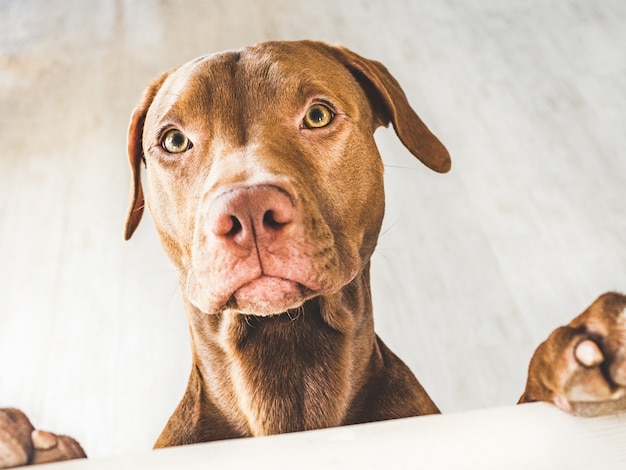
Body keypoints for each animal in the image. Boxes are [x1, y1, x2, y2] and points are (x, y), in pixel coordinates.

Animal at [1, 40, 624, 466]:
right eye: (174, 140)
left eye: (318, 114)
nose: (248, 209)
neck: (286, 366)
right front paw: (35, 446)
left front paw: (579, 347)